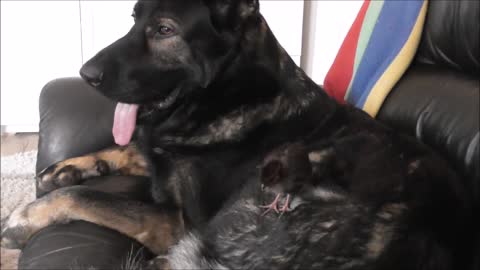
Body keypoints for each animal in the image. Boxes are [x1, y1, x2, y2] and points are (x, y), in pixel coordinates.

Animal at [0, 0, 474, 270]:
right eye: (133, 20)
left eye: (165, 30)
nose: (86, 74)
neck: (228, 93)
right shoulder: (164, 152)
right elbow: (129, 147)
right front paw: (66, 168)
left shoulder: (177, 221)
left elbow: (91, 198)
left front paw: (26, 215)